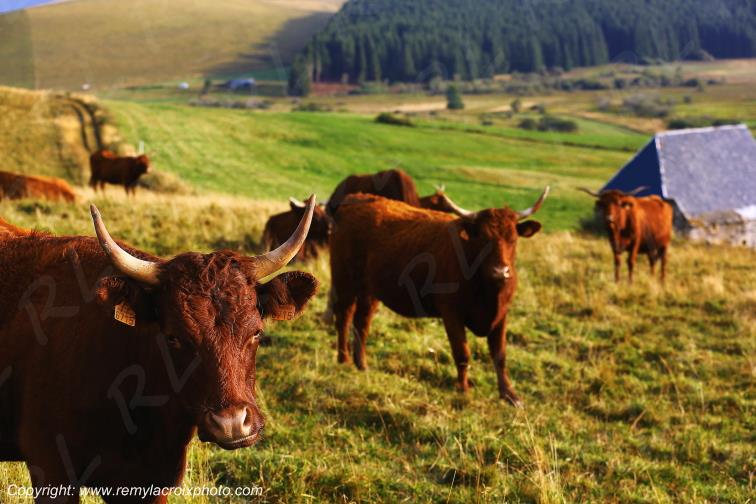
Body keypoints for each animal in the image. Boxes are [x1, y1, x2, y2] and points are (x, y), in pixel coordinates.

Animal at [329, 187, 549, 406]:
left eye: (513, 239)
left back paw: (362, 364)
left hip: (370, 290)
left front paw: (510, 395)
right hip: (344, 279)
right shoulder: (451, 312)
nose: (500, 272)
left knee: (362, 322)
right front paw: (463, 388)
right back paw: (343, 359)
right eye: (482, 239)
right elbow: (462, 352)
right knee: (344, 317)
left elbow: (500, 355)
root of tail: (356, 197)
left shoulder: (502, 315)